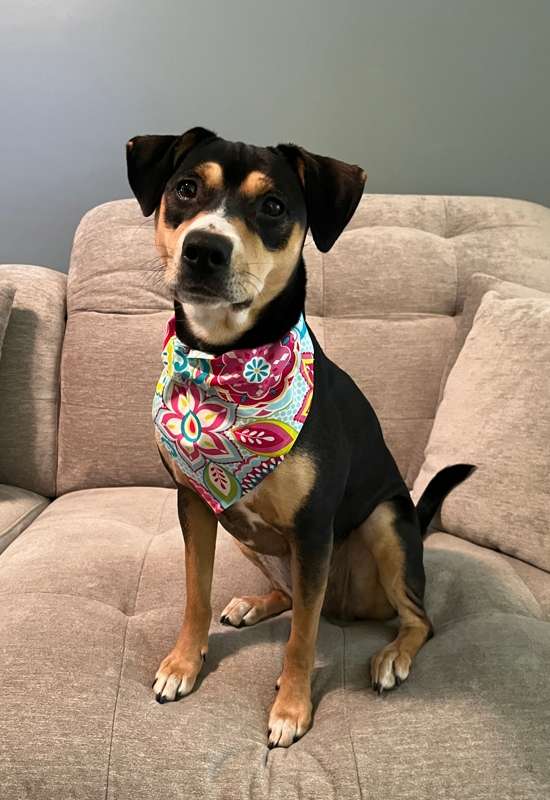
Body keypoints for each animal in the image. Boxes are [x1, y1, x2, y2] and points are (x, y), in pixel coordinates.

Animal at [127, 126, 476, 752]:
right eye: (186, 189)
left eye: (273, 207)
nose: (204, 249)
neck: (226, 358)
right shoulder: (196, 504)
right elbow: (196, 594)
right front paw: (183, 665)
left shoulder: (314, 530)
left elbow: (302, 640)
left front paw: (291, 709)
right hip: (248, 535)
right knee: (293, 598)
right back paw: (253, 604)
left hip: (386, 524)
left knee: (417, 619)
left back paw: (392, 657)